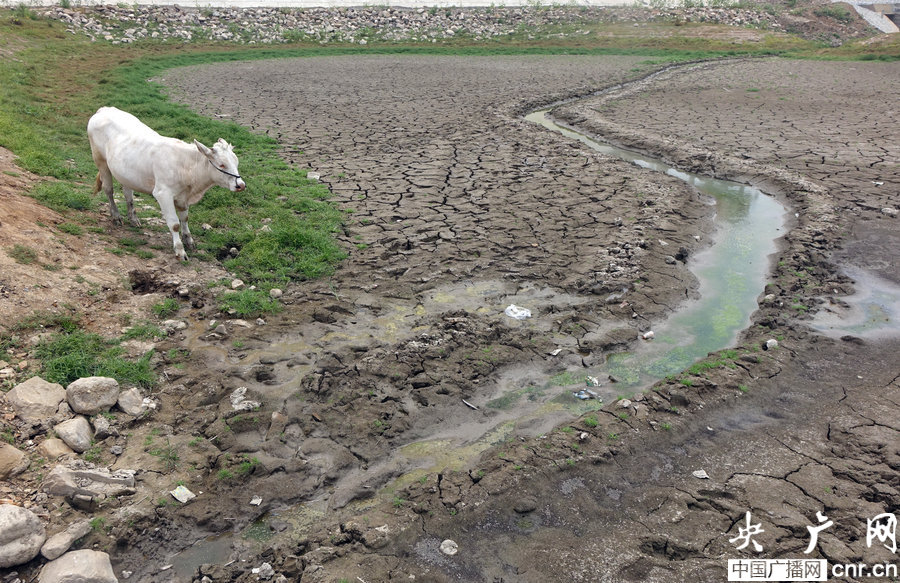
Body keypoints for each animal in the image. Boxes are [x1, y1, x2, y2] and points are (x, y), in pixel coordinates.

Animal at [87, 106, 246, 262]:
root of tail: (104, 109)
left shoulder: (183, 196)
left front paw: (189, 241)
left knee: (128, 192)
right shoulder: (163, 193)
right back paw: (116, 216)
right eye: (222, 164)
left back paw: (133, 218)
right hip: (100, 161)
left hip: (125, 172)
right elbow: (174, 223)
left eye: (236, 162)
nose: (241, 185)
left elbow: (184, 218)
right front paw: (180, 251)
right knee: (109, 190)